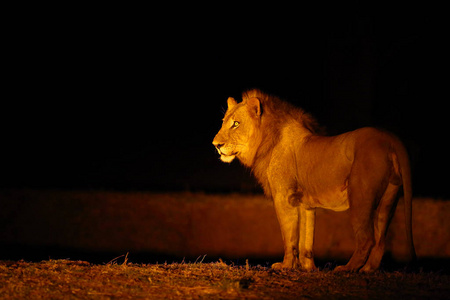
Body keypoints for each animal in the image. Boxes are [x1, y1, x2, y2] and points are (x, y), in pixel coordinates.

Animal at [213, 88, 416, 272]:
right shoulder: (305, 204)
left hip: (360, 196)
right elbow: (306, 239)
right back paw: (368, 270)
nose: (216, 145)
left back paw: (347, 269)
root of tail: (389, 137)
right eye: (223, 123)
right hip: (389, 198)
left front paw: (285, 266)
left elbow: (290, 238)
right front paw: (308, 268)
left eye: (236, 124)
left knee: (367, 239)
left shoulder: (284, 198)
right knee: (381, 239)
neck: (267, 140)